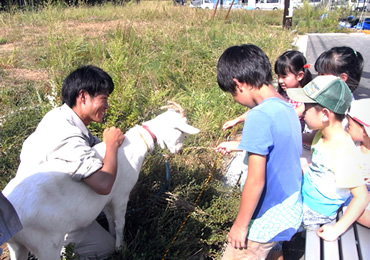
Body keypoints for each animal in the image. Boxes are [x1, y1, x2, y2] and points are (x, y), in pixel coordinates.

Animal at [2, 102, 199, 258]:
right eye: (182, 132)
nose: (179, 151)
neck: (133, 147)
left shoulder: (107, 200)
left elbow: (111, 221)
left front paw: (113, 240)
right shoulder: (121, 195)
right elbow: (120, 223)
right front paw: (121, 247)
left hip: (17, 246)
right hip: (46, 244)